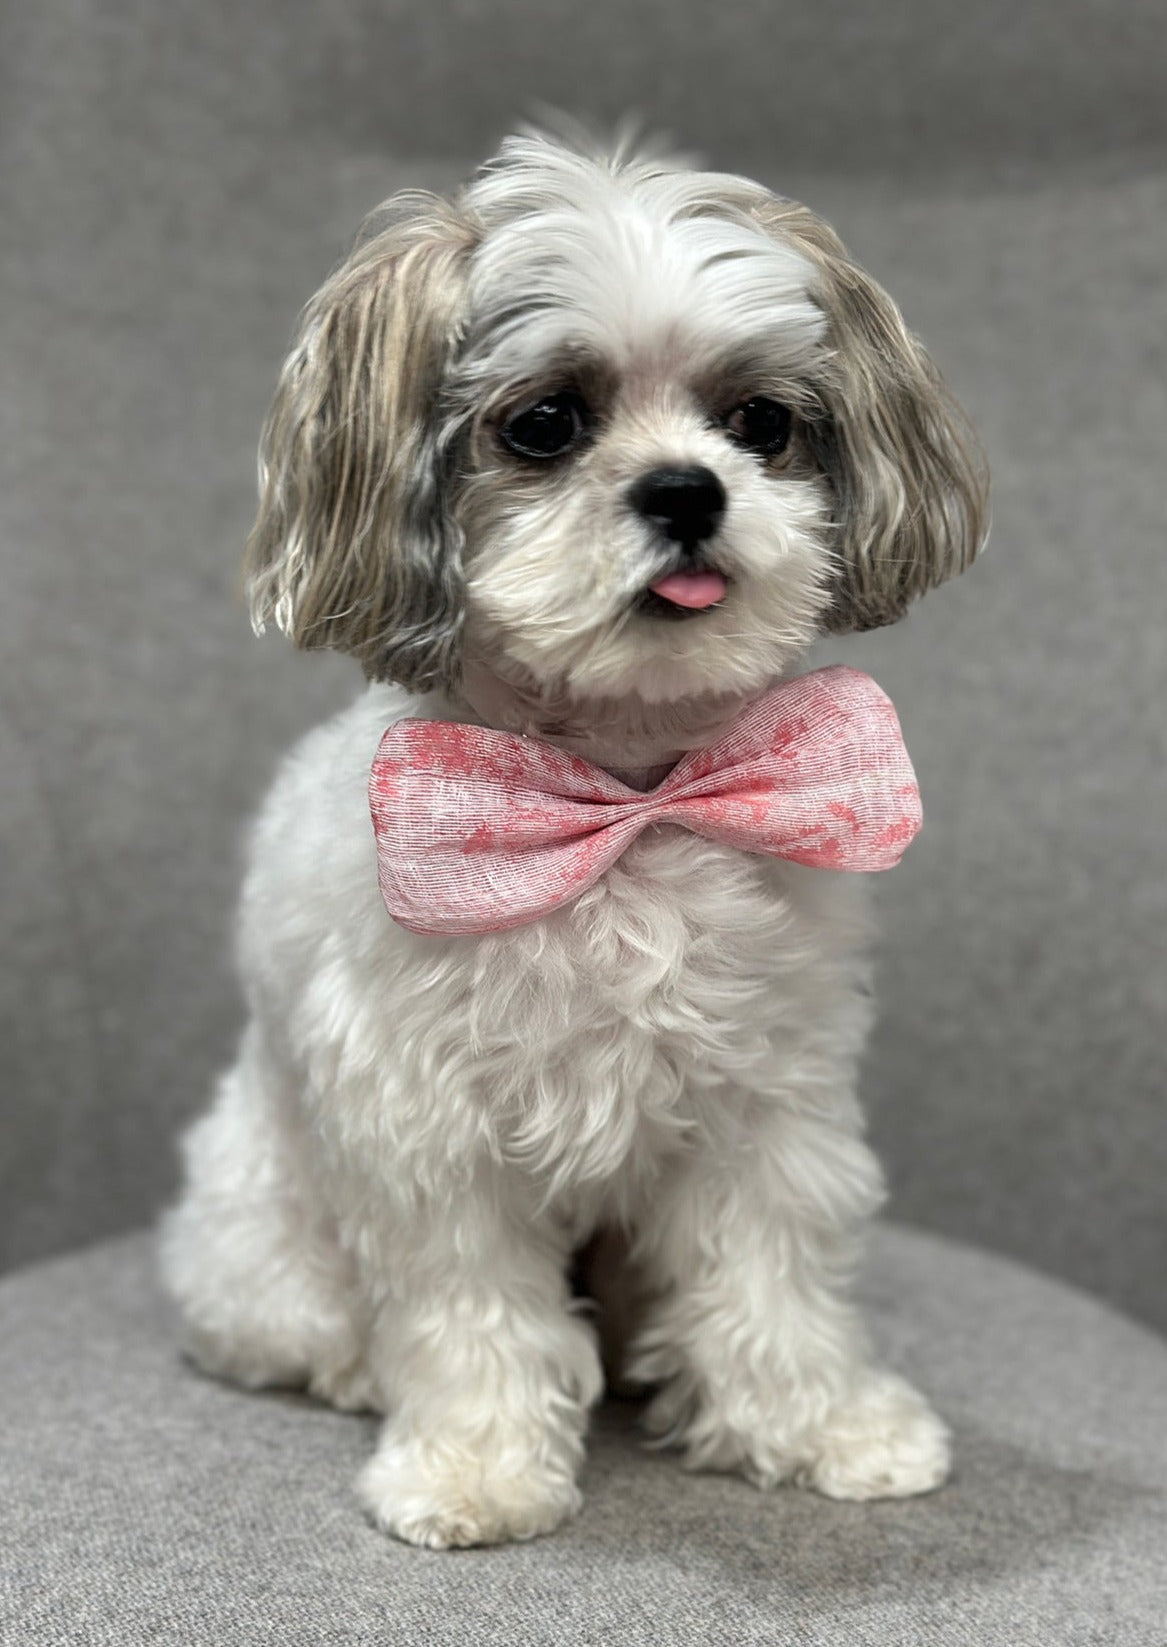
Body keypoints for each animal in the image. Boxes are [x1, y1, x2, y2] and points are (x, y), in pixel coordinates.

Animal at [161, 125, 981, 1541]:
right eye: (546, 423)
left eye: (759, 423)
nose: (686, 490)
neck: (626, 797)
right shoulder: (428, 1132)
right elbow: (472, 1313)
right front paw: (475, 1466)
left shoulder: (768, 1104)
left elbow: (773, 1283)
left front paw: (821, 1426)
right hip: (263, 1246)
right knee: (311, 1324)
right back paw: (356, 1367)